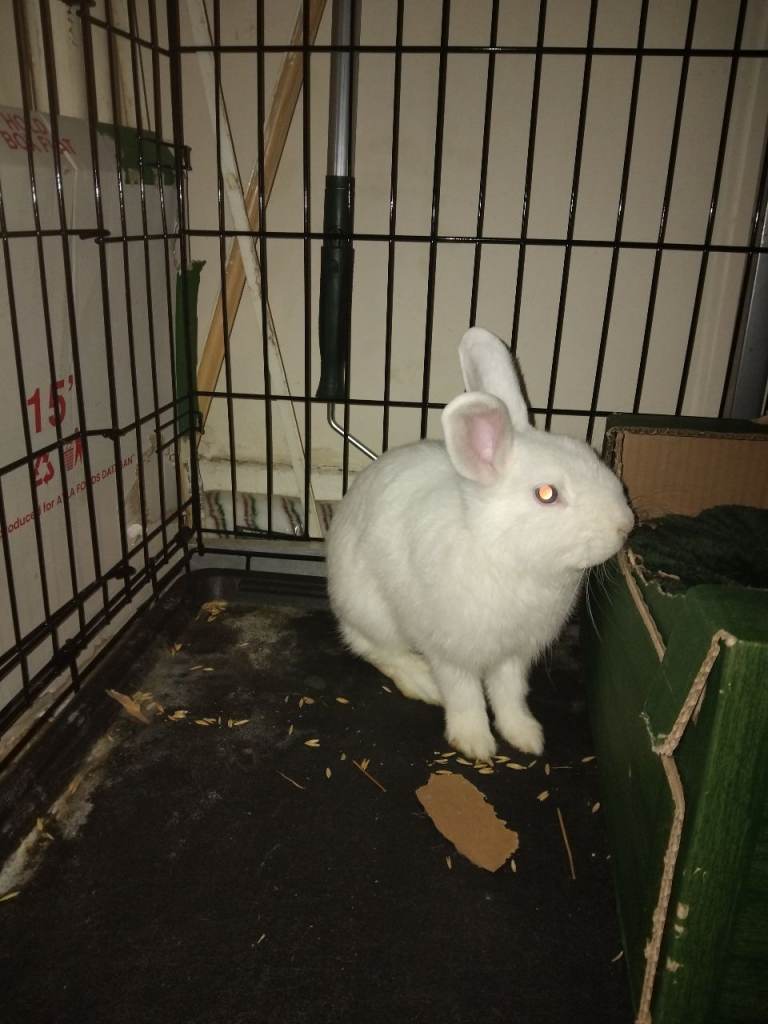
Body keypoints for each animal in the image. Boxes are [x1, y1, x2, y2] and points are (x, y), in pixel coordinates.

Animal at [326, 327, 634, 762]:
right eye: (546, 494)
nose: (625, 526)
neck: (509, 558)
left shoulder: (514, 655)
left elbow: (509, 694)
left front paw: (526, 736)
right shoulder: (451, 651)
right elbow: (465, 695)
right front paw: (474, 743)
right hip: (372, 610)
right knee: (370, 647)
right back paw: (421, 682)